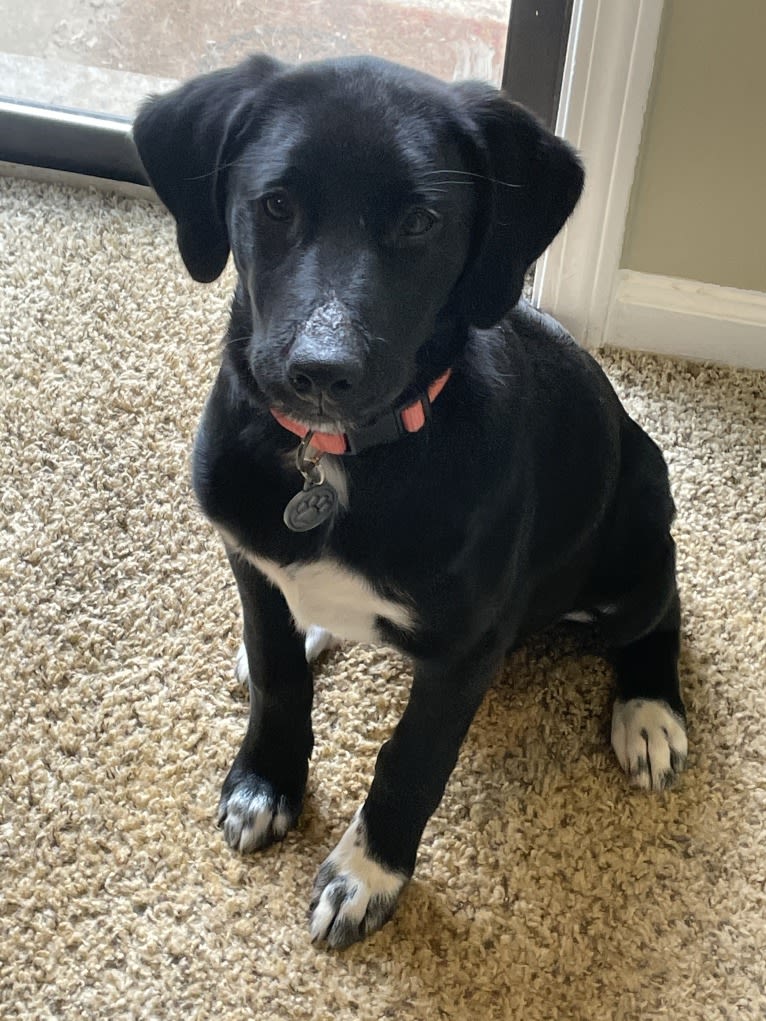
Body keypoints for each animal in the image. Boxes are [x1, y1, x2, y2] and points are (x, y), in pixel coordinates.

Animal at [133, 53, 690, 947]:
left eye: (421, 221)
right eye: (276, 205)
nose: (320, 373)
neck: (335, 460)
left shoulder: (465, 651)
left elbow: (411, 761)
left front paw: (368, 874)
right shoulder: (249, 560)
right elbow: (278, 678)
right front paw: (265, 778)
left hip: (637, 530)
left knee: (662, 609)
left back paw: (648, 711)